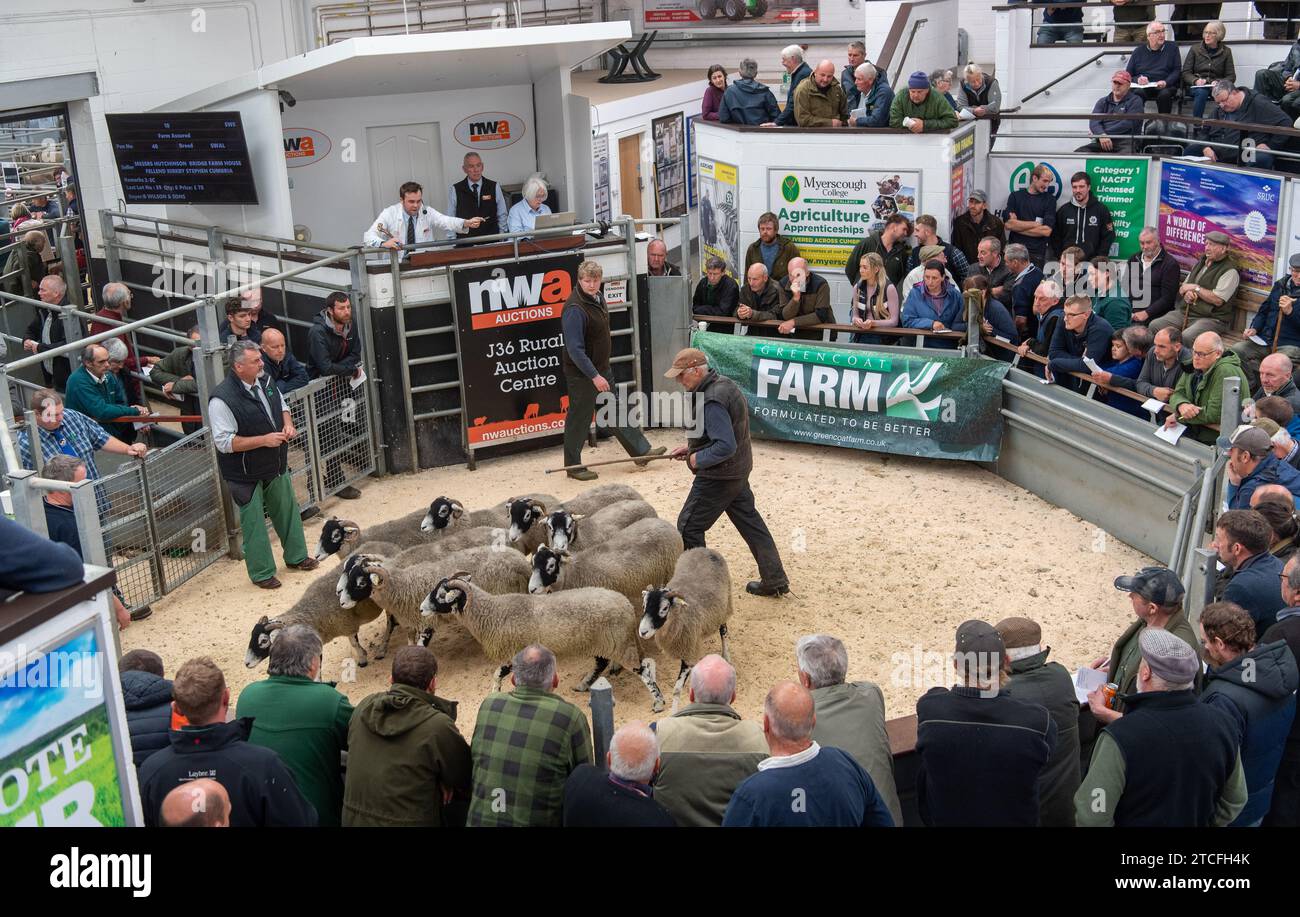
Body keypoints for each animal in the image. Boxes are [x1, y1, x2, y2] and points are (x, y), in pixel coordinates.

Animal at [340, 543, 538, 650]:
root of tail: (521, 562)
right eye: (347, 574)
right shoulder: (410, 620)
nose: (341, 601)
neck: (402, 584)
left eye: (361, 583)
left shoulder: (426, 621)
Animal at [418, 569, 660, 712]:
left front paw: (495, 693)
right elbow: (499, 675)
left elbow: (497, 673)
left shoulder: (514, 652)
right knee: (601, 663)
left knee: (643, 671)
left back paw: (658, 702)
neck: (491, 611)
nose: (420, 609)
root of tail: (627, 605)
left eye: (441, 595)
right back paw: (583, 685)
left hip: (620, 644)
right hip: (605, 642)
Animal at [533, 515, 686, 613]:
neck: (572, 572)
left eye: (551, 565)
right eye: (533, 564)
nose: (532, 589)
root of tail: (665, 523)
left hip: (670, 569)